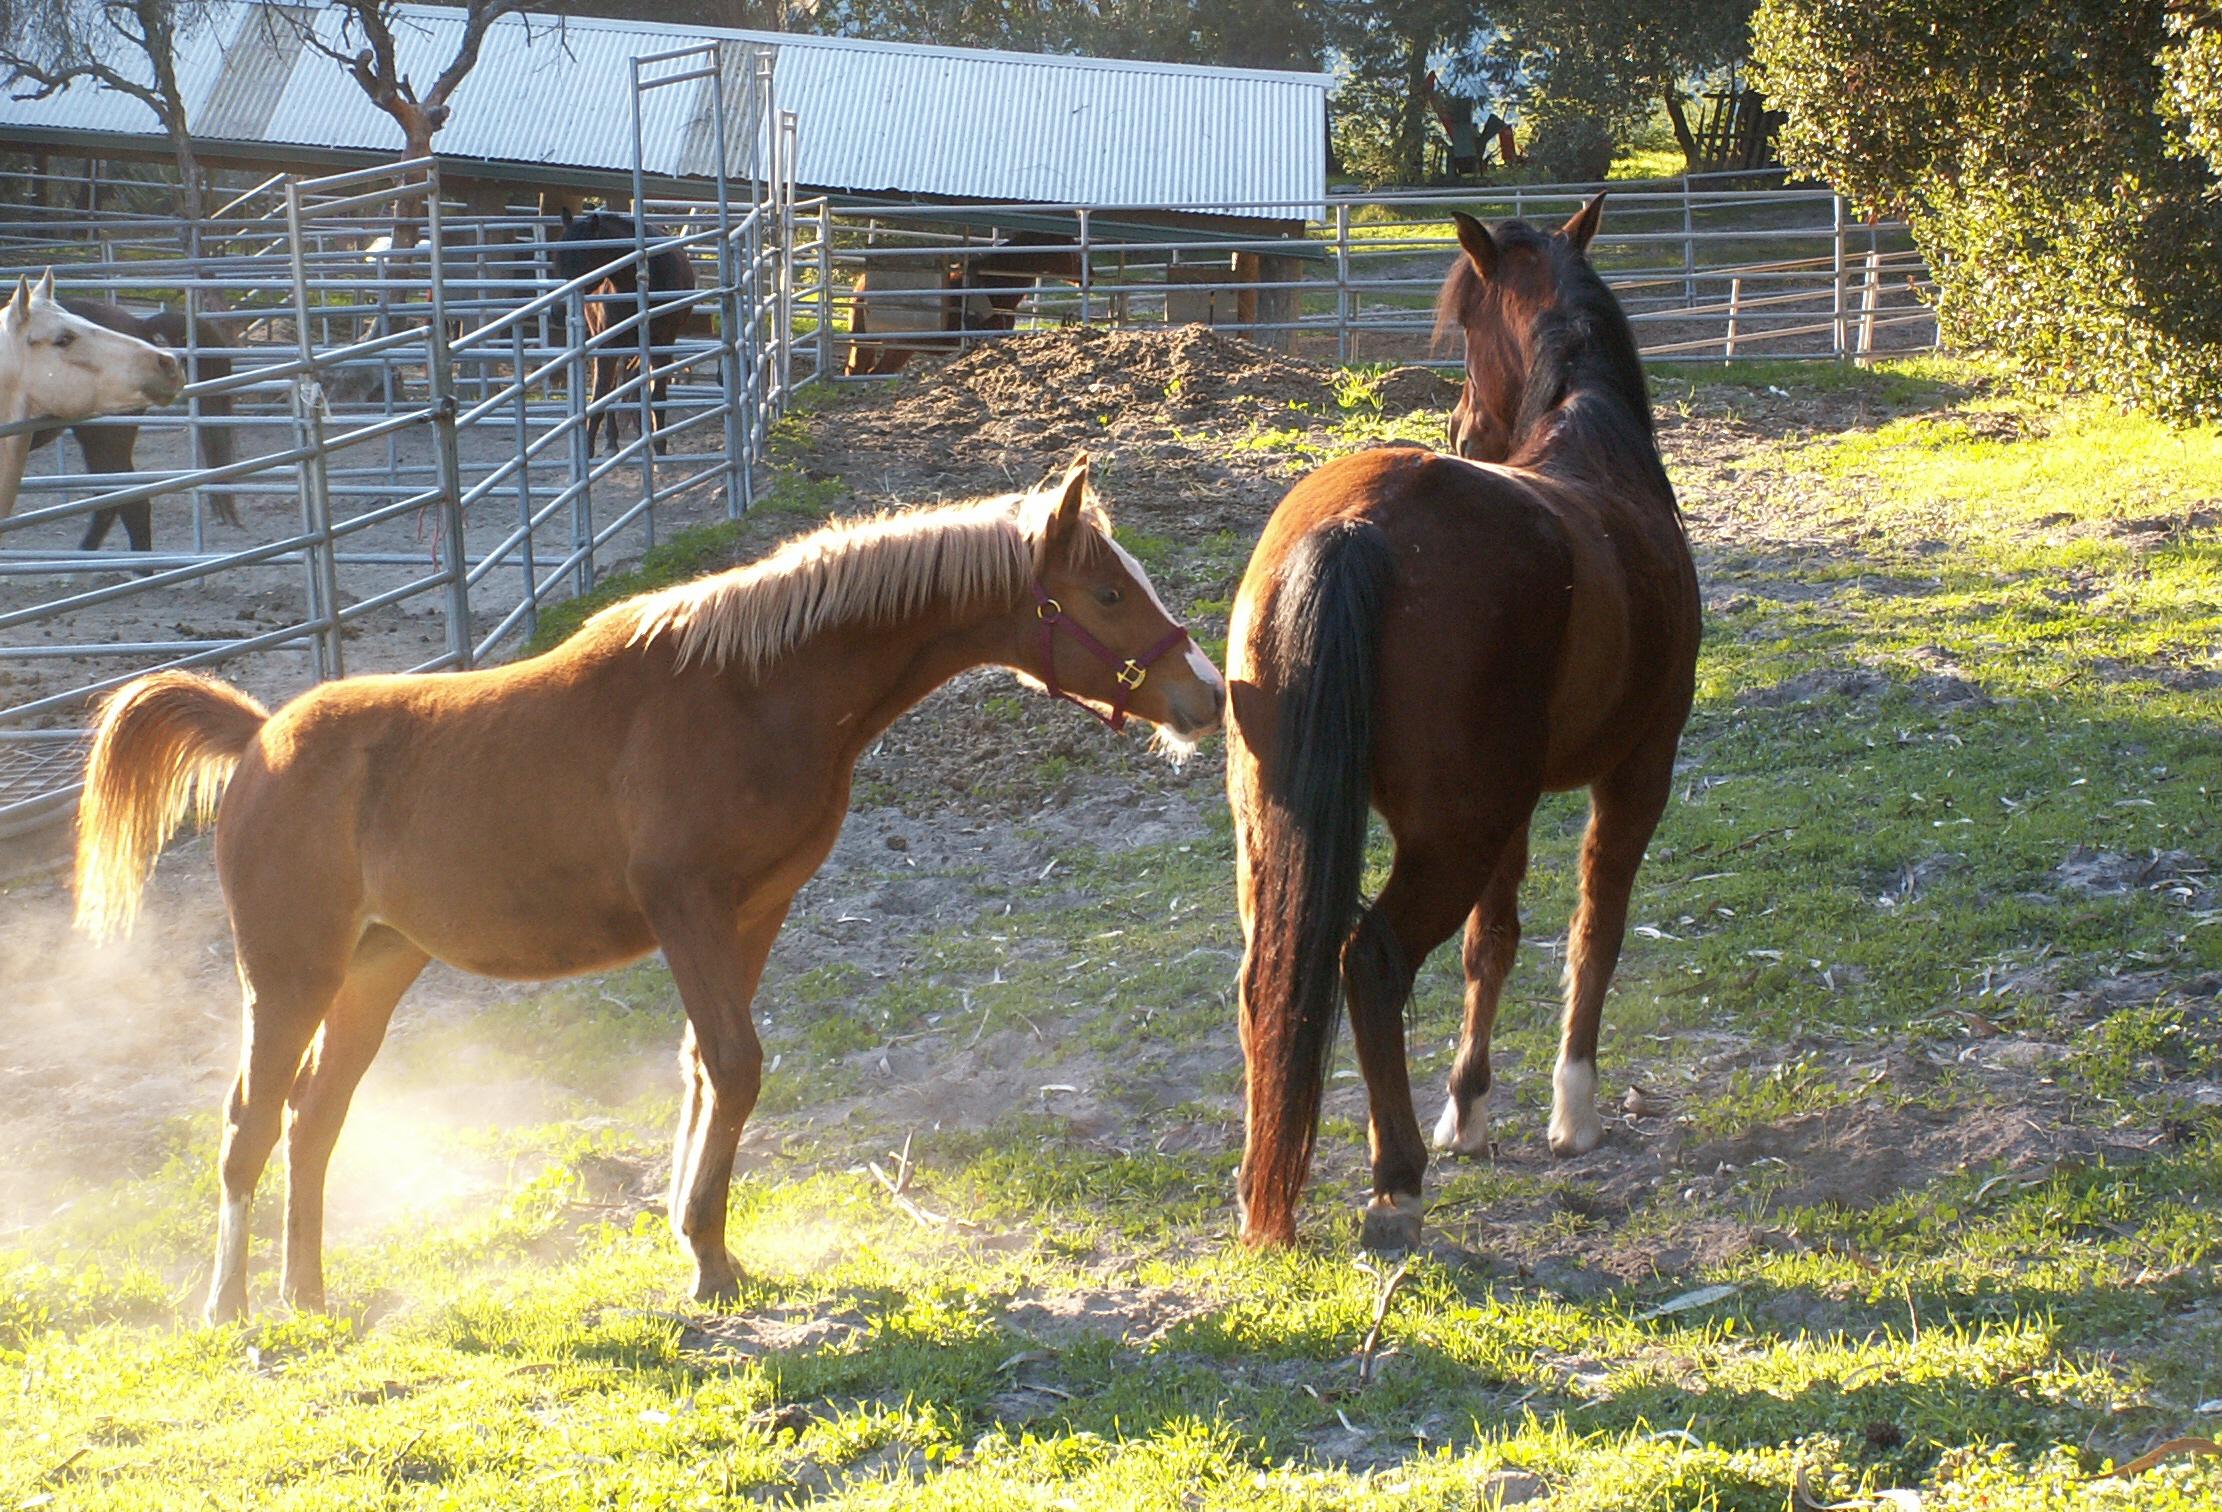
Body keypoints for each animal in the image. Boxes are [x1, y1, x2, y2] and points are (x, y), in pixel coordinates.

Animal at [72, 455, 1226, 1323]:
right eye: (1108, 593)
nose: (1206, 696)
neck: (751, 692)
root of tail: (260, 737)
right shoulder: (688, 912)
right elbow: (734, 1063)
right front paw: (705, 1260)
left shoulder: (755, 912)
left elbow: (708, 1070)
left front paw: (705, 1244)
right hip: (288, 975)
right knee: (250, 1122)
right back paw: (229, 1310)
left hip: (374, 971)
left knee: (315, 1121)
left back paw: (307, 1296)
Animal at [552, 208, 699, 456]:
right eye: (558, 260)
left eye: (585, 257)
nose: (557, 311)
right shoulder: (608, 345)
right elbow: (601, 395)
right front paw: (588, 449)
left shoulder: (662, 343)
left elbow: (657, 395)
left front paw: (660, 448)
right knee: (618, 386)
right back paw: (614, 440)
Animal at [1224, 195, 1701, 1252]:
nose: (1460, 425)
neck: (1594, 443)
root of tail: (1356, 525)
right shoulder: (1637, 774)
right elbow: (1596, 927)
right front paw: (1573, 1111)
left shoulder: (1516, 811)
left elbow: (1497, 943)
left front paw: (1471, 1109)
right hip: (1453, 835)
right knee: (1371, 960)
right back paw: (1394, 1180)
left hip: (1280, 831)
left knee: (1269, 977)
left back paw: (1263, 1182)